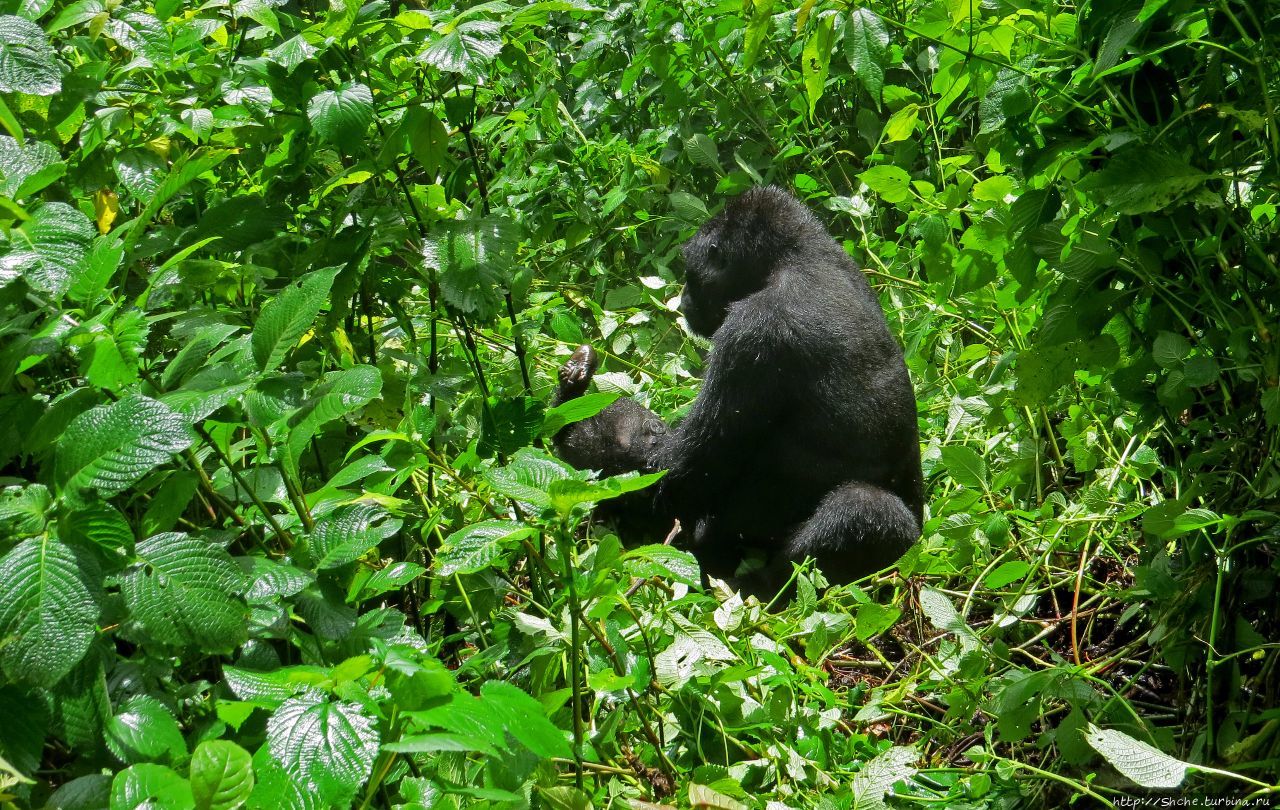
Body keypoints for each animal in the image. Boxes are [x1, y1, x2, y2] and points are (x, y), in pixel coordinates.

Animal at [550, 186, 921, 591]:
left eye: (690, 272)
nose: (683, 296)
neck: (794, 259)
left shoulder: (752, 332)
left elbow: (679, 476)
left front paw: (574, 428)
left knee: (863, 509)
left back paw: (752, 588)